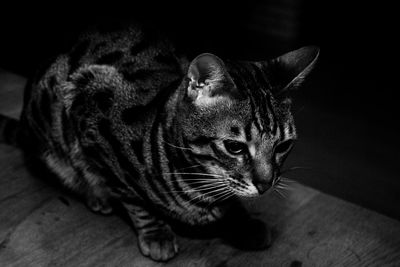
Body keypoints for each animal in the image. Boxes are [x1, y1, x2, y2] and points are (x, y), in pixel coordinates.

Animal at [0, 24, 318, 262]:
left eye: (283, 146)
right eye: (235, 147)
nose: (265, 184)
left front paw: (241, 220)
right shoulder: (90, 109)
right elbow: (132, 196)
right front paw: (155, 232)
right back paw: (96, 195)